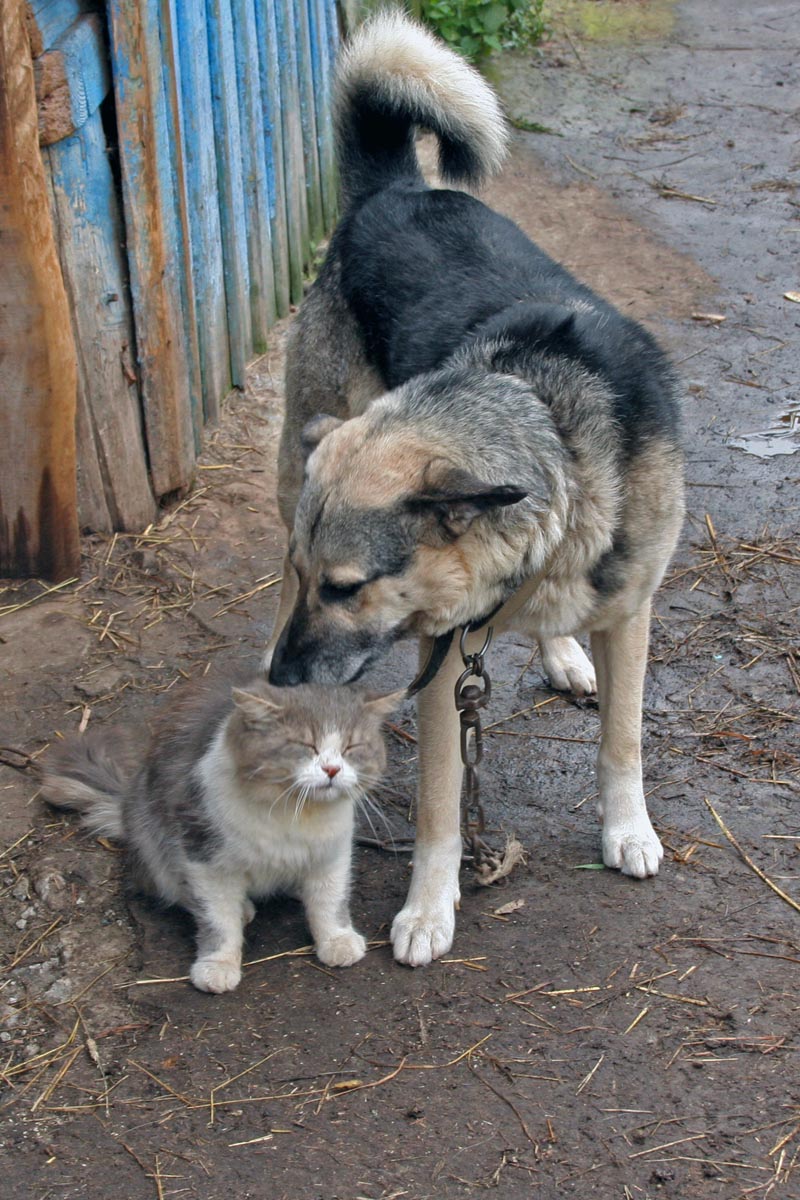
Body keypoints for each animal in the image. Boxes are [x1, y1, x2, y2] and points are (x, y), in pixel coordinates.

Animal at [37, 676, 400, 993]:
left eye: (352, 747)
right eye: (305, 746)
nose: (332, 770)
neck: (293, 813)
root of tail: (126, 800)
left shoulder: (331, 852)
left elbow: (330, 900)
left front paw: (336, 940)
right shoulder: (204, 855)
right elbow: (217, 919)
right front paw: (217, 965)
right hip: (153, 837)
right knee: (177, 890)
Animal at [266, 11, 686, 964]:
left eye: (347, 586)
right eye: (315, 582)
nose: (279, 677)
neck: (554, 436)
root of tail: (392, 191)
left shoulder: (631, 609)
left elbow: (623, 742)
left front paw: (628, 830)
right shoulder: (445, 655)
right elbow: (439, 810)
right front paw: (428, 908)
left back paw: (565, 652)